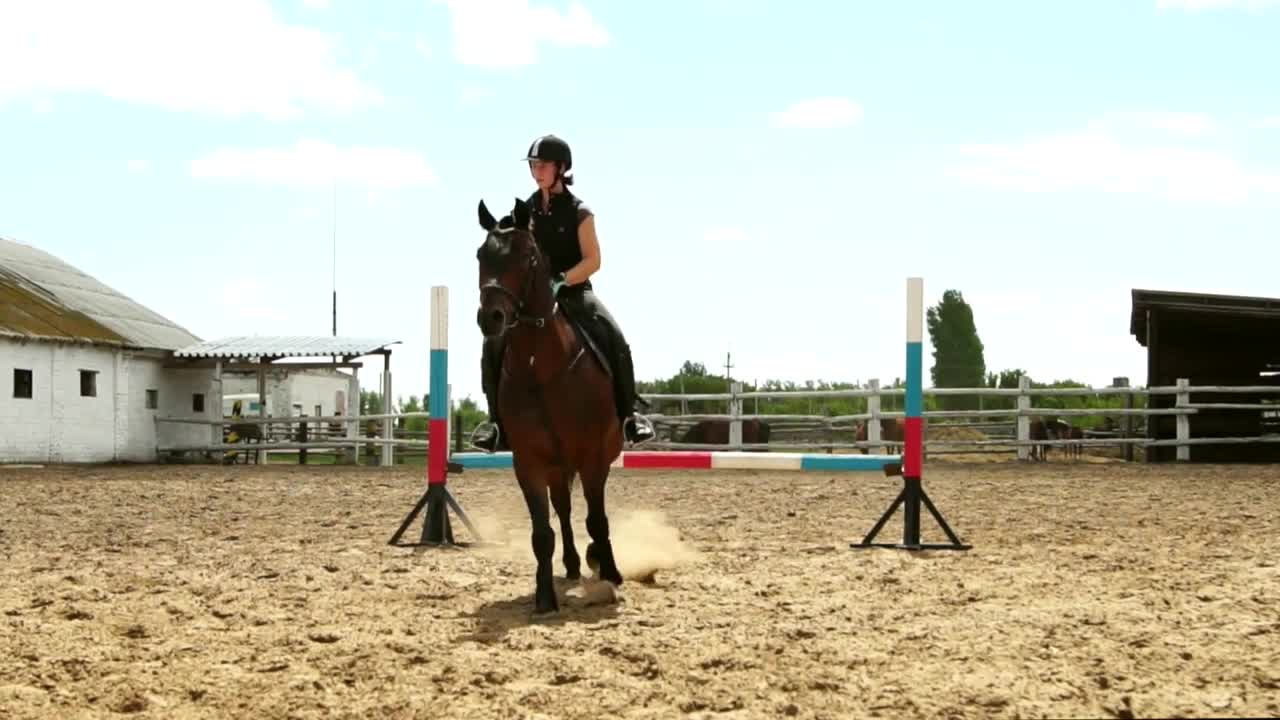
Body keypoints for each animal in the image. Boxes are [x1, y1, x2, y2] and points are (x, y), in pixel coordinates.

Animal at [476, 198, 624, 614]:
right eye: (480, 255)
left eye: (527, 256)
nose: (491, 318)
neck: (540, 366)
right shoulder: (529, 462)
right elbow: (542, 532)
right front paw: (544, 597)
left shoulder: (593, 456)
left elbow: (598, 520)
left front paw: (609, 574)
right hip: (558, 467)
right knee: (565, 509)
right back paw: (572, 564)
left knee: (587, 513)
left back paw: (598, 562)